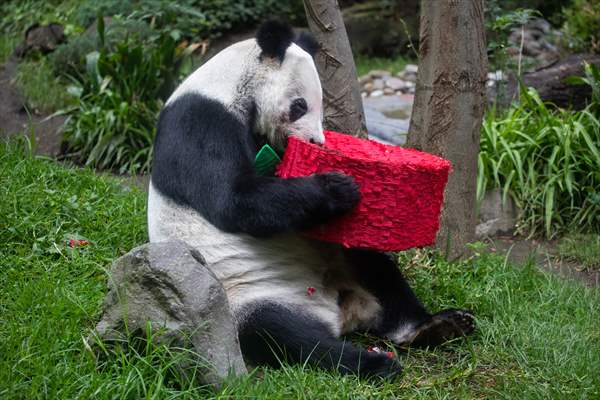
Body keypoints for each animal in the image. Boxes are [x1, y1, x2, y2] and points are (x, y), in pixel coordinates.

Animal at [148, 21, 476, 378]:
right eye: (300, 106)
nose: (316, 142)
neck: (230, 84)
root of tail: (339, 313)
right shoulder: (202, 121)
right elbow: (234, 201)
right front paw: (338, 186)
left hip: (342, 263)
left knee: (378, 268)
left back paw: (434, 327)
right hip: (242, 294)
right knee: (281, 334)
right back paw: (374, 363)